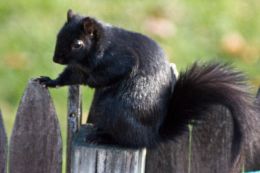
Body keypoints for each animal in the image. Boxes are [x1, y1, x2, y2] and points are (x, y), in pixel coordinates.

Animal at [35, 9, 258, 170]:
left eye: (78, 44)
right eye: (59, 35)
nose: (56, 58)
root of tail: (152, 135)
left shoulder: (120, 59)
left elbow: (110, 74)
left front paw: (93, 83)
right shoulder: (78, 69)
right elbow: (69, 77)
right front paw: (49, 81)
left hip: (113, 109)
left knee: (129, 141)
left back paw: (104, 137)